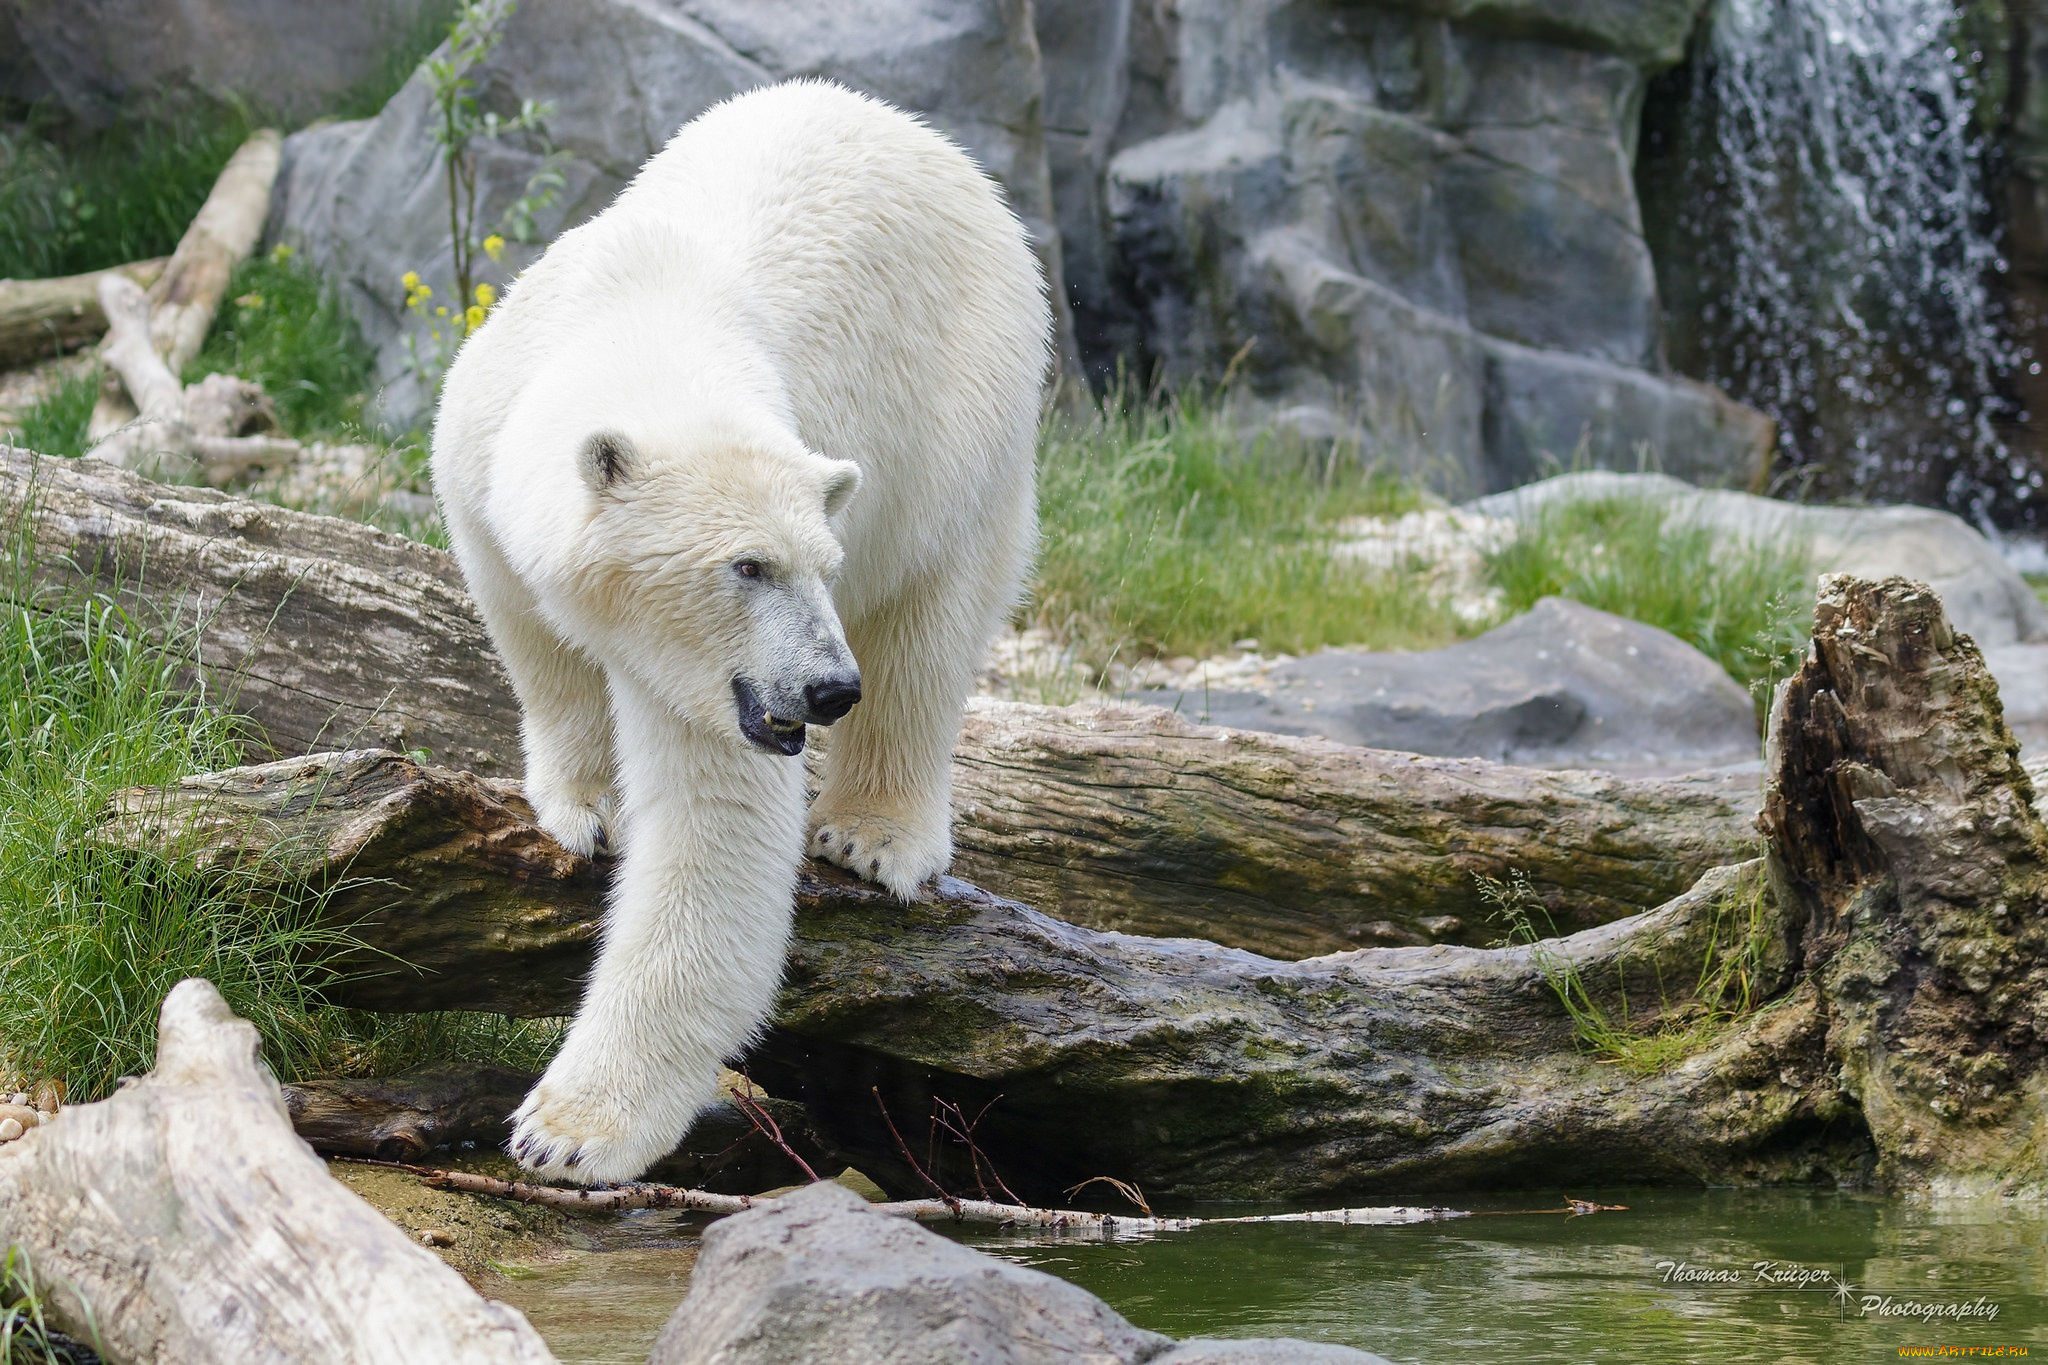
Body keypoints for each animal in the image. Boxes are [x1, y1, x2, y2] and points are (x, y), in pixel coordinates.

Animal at [428, 80, 1040, 1178]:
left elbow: (712, 835)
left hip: (965, 411)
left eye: (817, 565)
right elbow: (540, 644)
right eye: (746, 566)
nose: (826, 688)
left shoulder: (727, 682)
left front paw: (565, 1130)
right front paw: (590, 805)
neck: (643, 314)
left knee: (930, 620)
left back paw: (876, 832)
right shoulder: (479, 462)